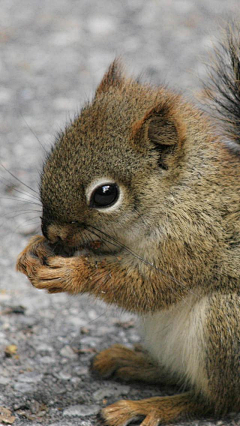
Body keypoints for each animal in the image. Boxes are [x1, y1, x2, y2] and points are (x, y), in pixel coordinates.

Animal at [15, 26, 239, 426]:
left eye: (105, 195)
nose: (51, 234)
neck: (178, 193)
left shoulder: (192, 240)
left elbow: (150, 287)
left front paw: (72, 274)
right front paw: (32, 252)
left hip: (225, 324)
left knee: (216, 400)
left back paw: (151, 406)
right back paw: (133, 362)